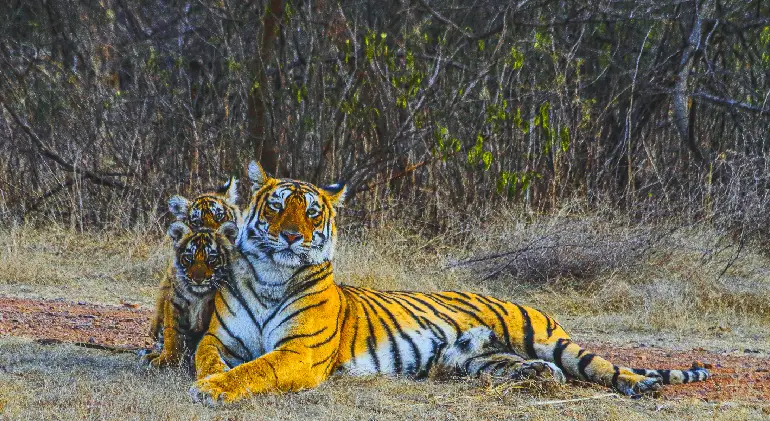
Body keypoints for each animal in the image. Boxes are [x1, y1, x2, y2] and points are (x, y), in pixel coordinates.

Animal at [189, 162, 704, 404]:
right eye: (277, 207)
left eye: (312, 212)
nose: (292, 235)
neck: (270, 277)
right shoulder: (219, 338)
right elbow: (206, 358)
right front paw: (207, 379)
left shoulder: (300, 352)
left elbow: (257, 369)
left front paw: (212, 389)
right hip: (476, 359)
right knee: (532, 369)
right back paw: (539, 377)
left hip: (548, 339)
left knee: (603, 367)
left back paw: (640, 386)